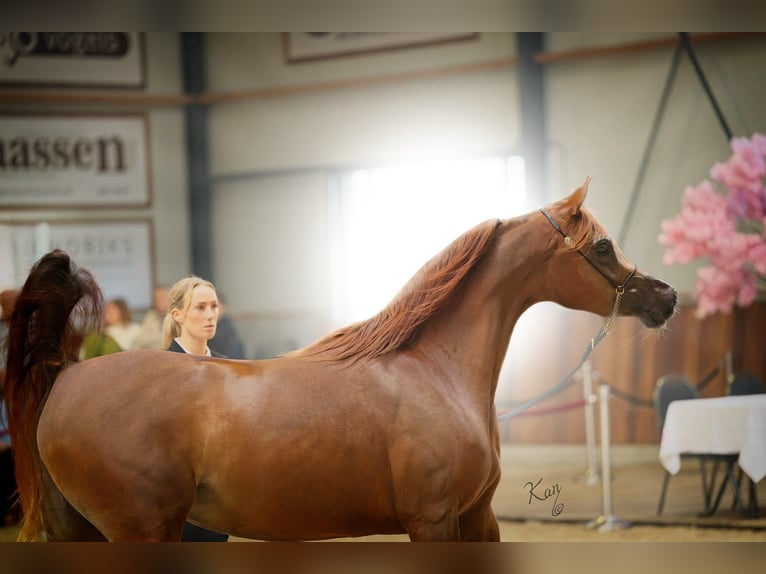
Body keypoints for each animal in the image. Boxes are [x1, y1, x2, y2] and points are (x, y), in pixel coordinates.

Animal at [3, 177, 677, 541]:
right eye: (602, 245)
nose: (666, 297)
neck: (436, 372)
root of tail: (66, 374)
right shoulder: (434, 520)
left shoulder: (477, 517)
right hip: (143, 531)